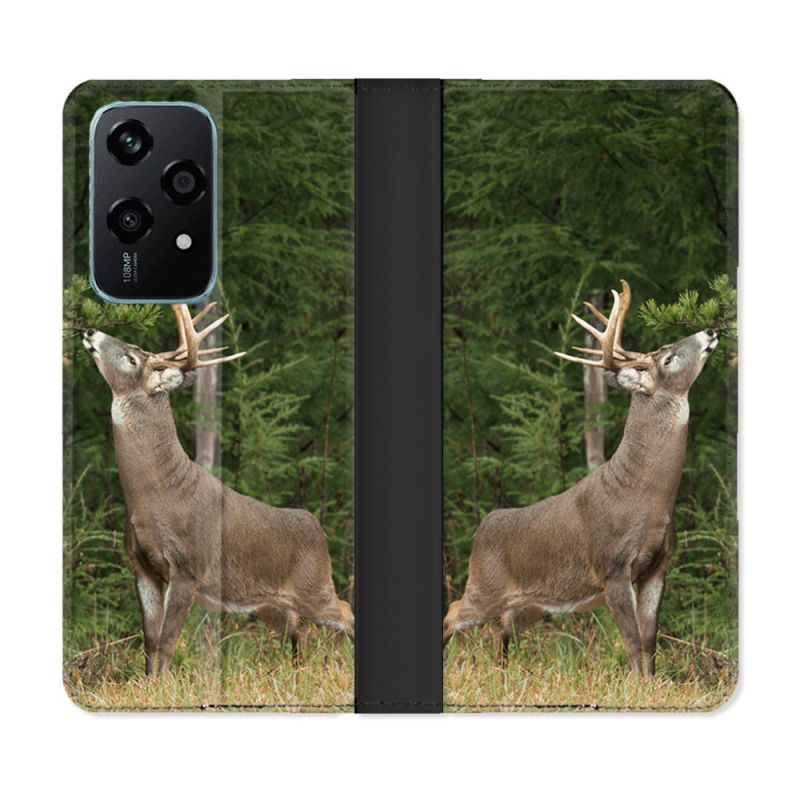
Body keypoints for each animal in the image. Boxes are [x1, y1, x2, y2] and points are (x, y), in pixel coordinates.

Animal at [82, 304, 354, 676]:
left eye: (132, 358)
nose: (90, 331)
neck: (156, 494)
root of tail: (317, 525)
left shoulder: (187, 566)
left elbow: (167, 641)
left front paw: (162, 685)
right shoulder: (141, 565)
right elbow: (149, 640)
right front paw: (148, 683)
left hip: (316, 586)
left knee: (346, 612)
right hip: (266, 603)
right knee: (299, 629)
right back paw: (297, 672)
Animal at [443, 280, 719, 676]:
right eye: (667, 358)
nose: (710, 330)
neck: (645, 494)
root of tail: (482, 528)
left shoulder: (658, 565)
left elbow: (650, 641)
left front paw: (652, 683)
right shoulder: (612, 566)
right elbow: (632, 641)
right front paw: (637, 685)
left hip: (530, 604)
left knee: (501, 629)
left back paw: (503, 672)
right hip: (484, 585)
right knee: (453, 612)